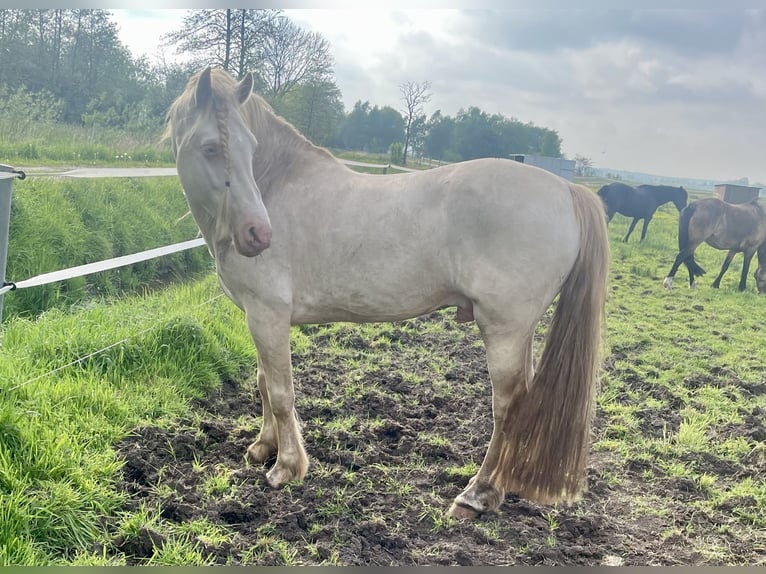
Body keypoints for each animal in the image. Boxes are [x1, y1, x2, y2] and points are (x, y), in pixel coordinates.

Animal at [166, 68, 612, 520]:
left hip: (504, 328)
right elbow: (262, 381)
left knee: (508, 404)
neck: (276, 185)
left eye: (251, 147)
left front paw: (285, 467)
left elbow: (279, 392)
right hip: (520, 331)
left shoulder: (268, 314)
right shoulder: (256, 316)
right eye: (210, 147)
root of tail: (567, 191)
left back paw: (476, 493)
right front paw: (262, 448)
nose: (258, 234)